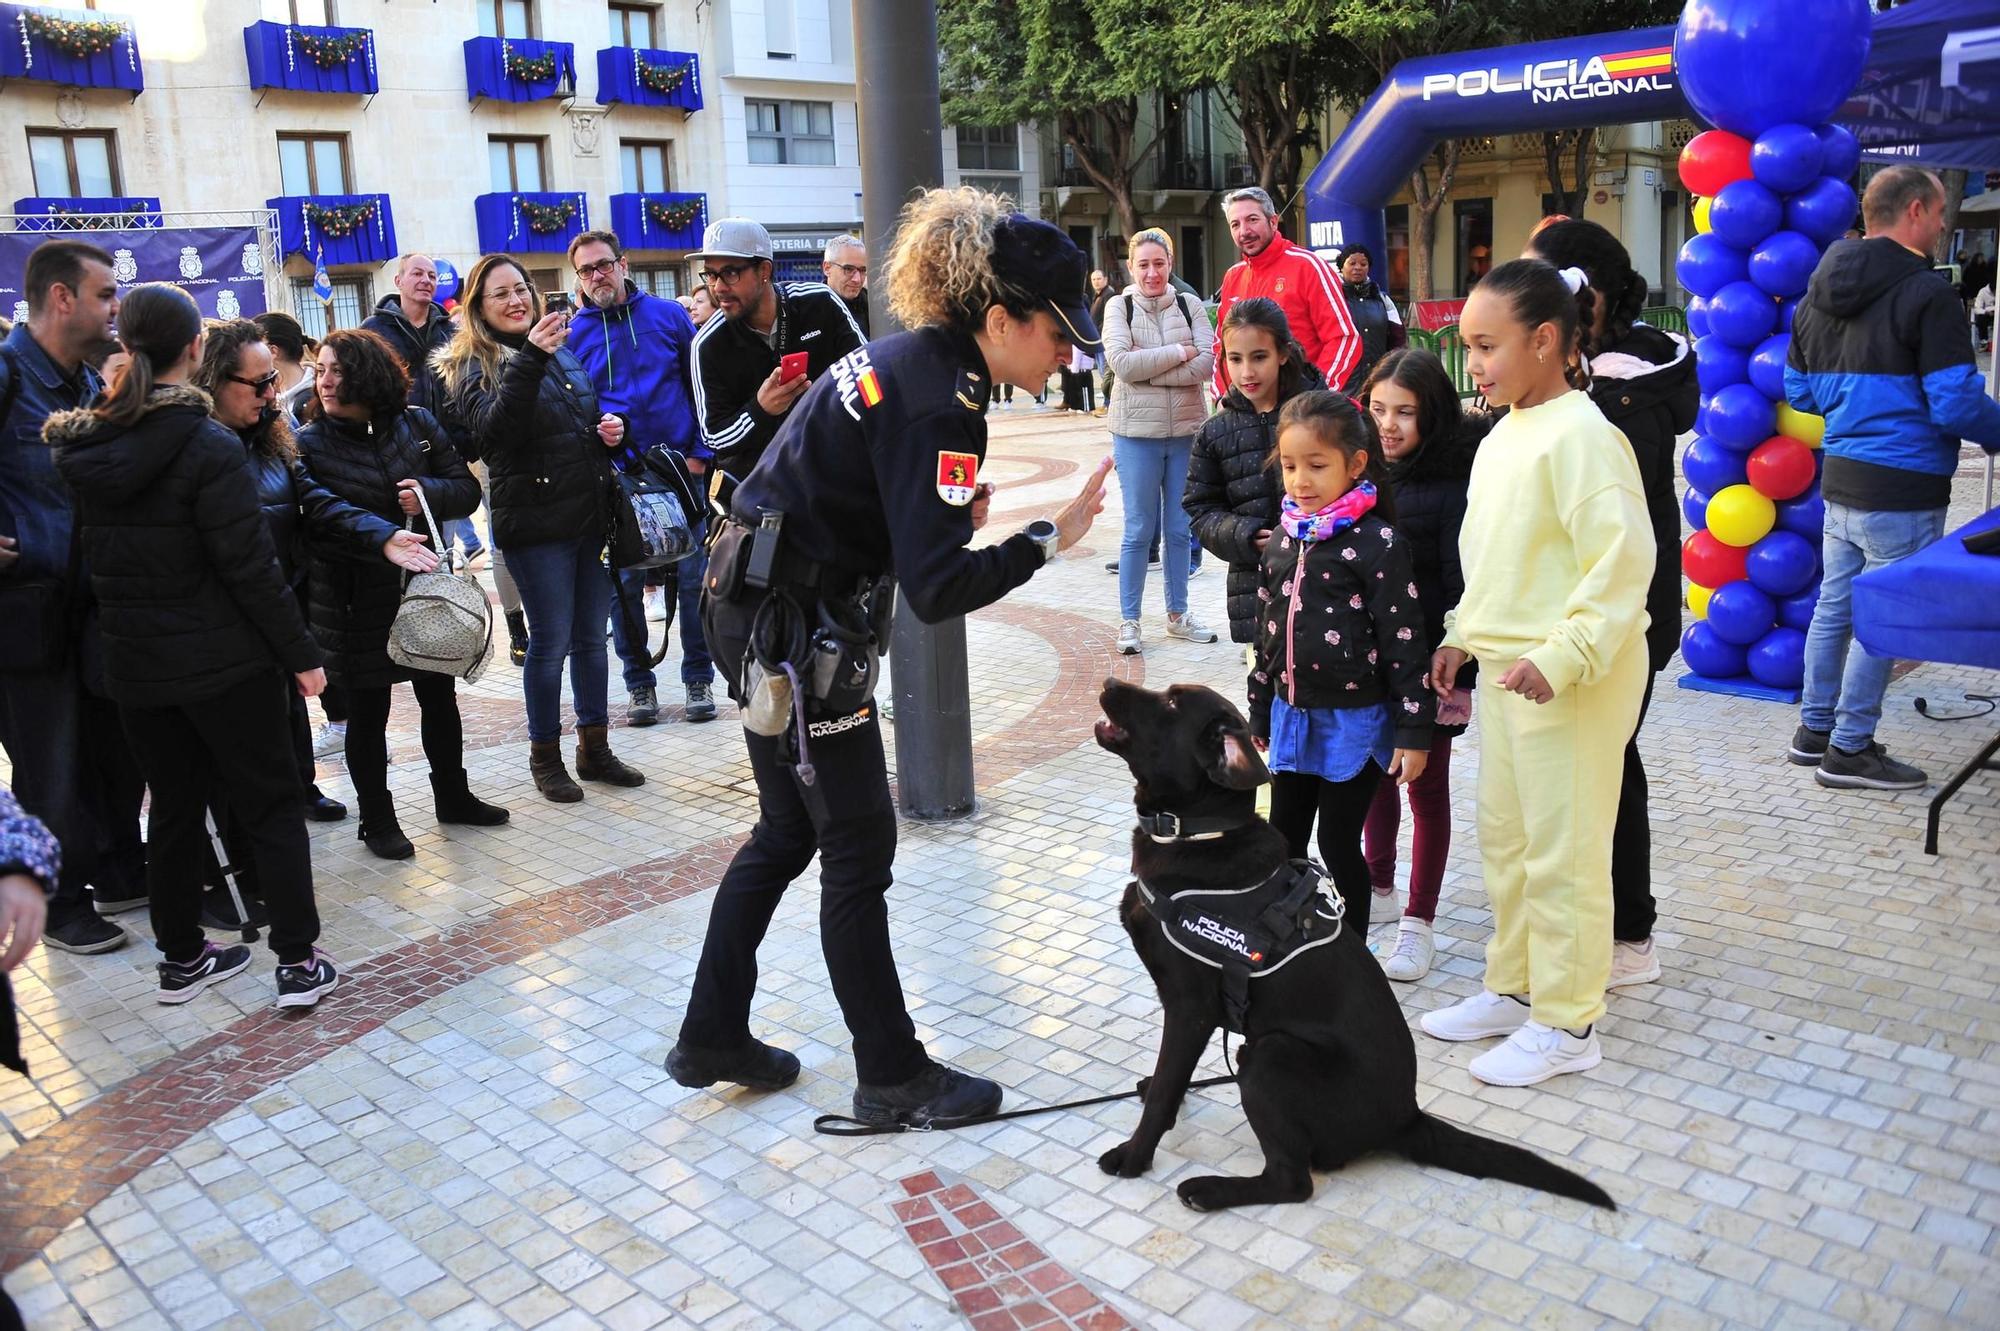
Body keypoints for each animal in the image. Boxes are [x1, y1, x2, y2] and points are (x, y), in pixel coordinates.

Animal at [1096, 679, 1608, 1207]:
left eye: (1171, 703)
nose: (1110, 683)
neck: (1198, 834)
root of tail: (1408, 1118)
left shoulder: (1190, 1008)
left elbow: (1164, 1091)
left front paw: (1134, 1156)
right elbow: (1170, 1081)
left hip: (1268, 1054)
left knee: (1292, 1181)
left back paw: (1211, 1190)